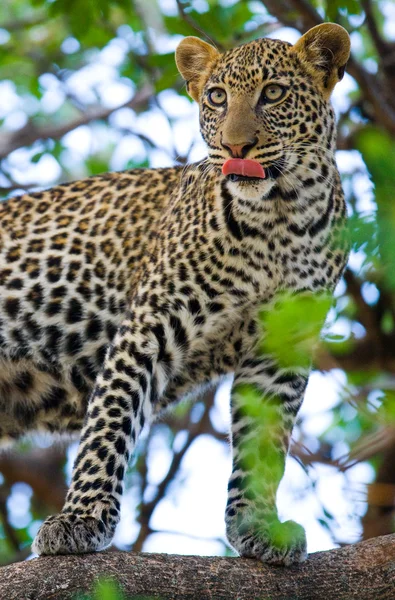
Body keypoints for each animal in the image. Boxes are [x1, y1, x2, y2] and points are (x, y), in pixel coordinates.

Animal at [0, 23, 352, 564]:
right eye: (217, 97)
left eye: (273, 93)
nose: (236, 146)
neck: (279, 217)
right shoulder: (150, 323)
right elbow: (110, 421)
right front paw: (81, 520)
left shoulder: (279, 352)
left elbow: (264, 445)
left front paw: (257, 524)